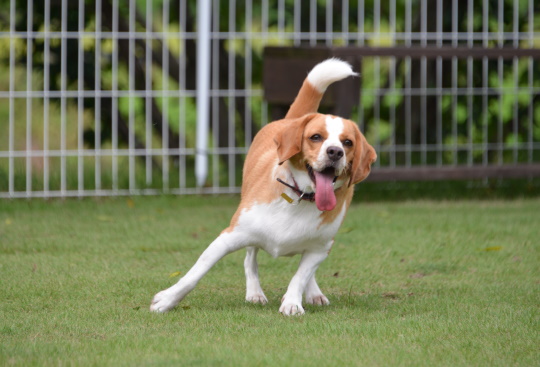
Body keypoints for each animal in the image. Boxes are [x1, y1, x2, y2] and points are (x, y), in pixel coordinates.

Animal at [150, 58, 378, 316]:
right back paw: (255, 293)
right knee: (250, 259)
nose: (335, 152)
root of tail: (290, 120)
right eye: (316, 137)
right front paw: (167, 299)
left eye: (347, 142)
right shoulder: (228, 237)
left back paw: (313, 293)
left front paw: (292, 302)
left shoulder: (321, 248)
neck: (301, 197)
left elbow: (300, 276)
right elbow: (195, 273)